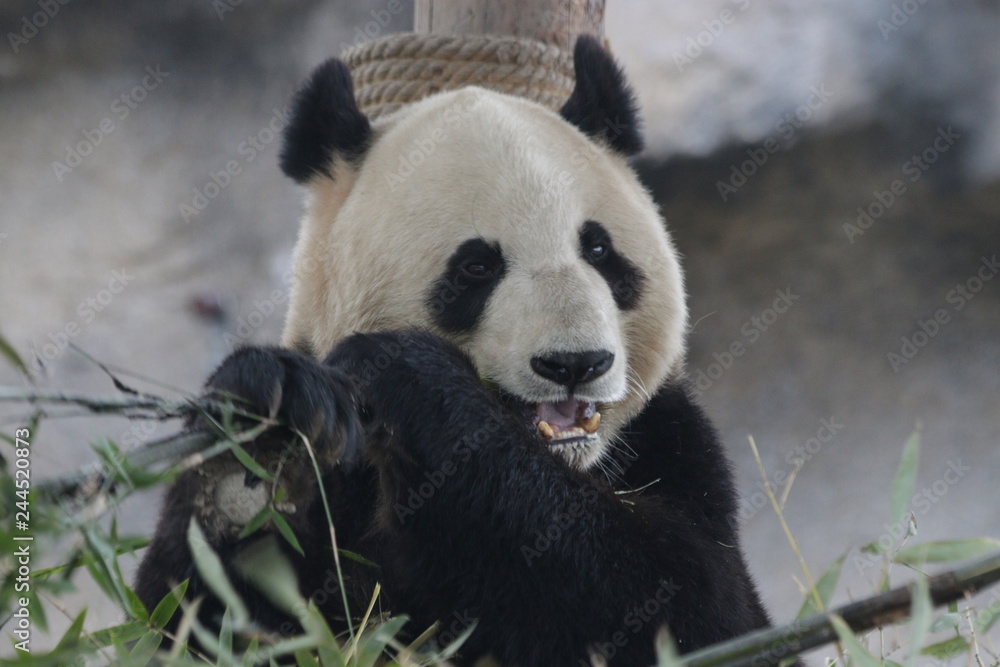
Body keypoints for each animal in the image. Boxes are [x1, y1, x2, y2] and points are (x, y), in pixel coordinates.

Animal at [136, 36, 780, 666]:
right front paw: (265, 436)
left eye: (598, 250)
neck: (570, 463)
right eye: (476, 267)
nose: (575, 364)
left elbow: (690, 605)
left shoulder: (670, 445)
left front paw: (406, 375)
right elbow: (191, 619)